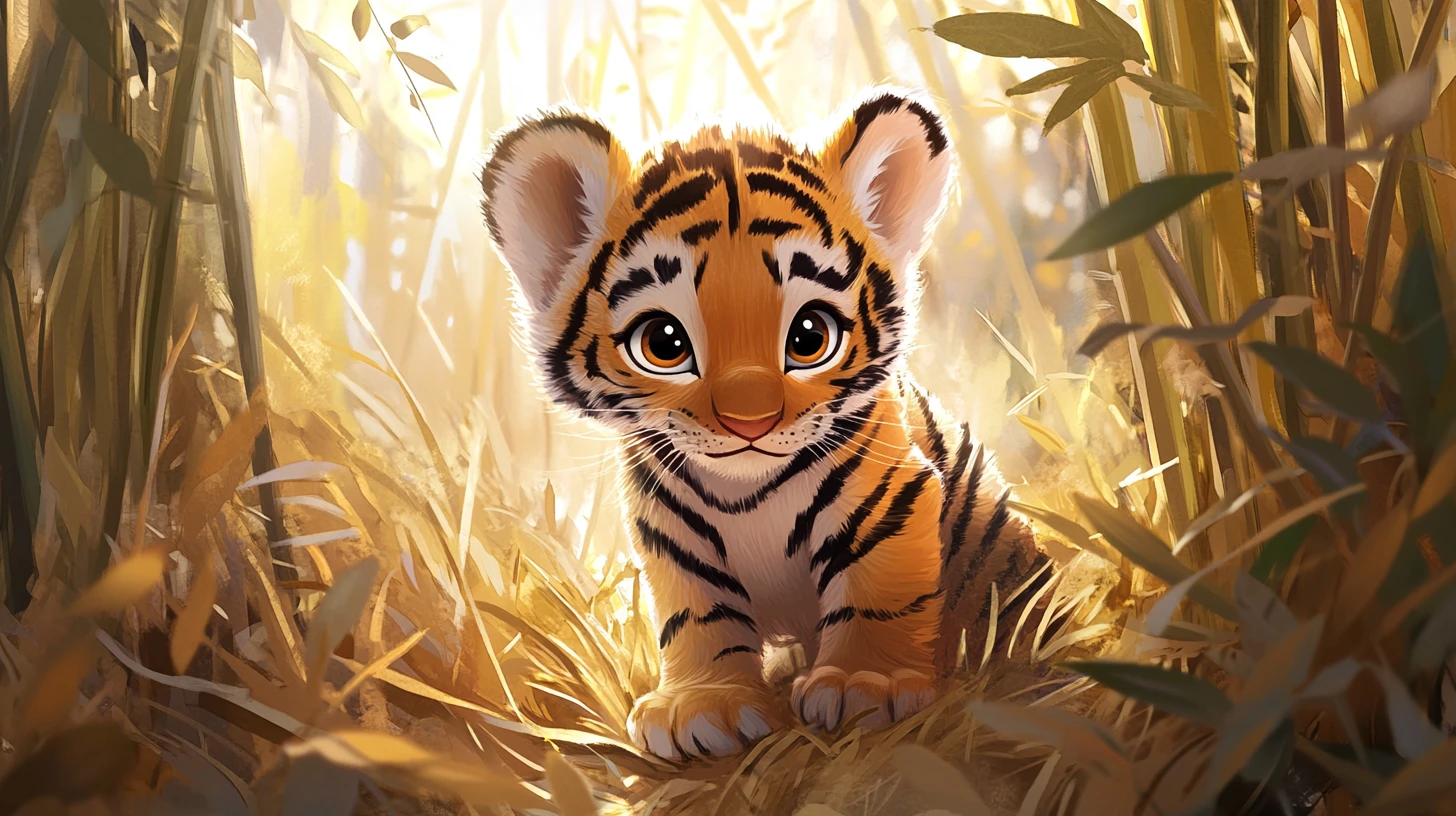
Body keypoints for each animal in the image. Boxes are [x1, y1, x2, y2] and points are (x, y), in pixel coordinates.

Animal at [480, 87, 1050, 761]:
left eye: (809, 336)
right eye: (663, 343)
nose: (748, 421)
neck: (745, 493)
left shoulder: (895, 495)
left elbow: (878, 593)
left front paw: (865, 683)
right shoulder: (671, 537)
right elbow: (698, 616)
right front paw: (703, 705)